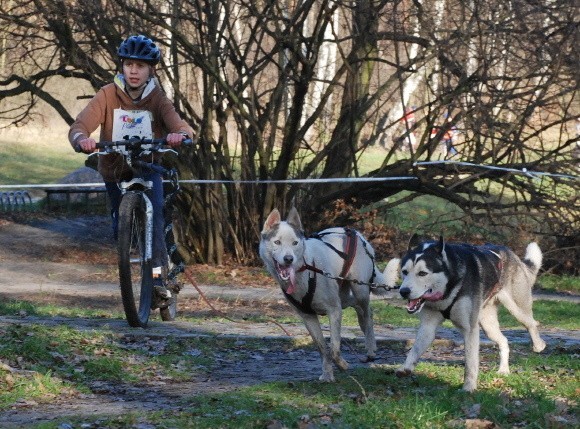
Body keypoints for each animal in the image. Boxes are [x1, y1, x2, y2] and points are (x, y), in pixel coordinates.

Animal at [258, 208, 398, 382]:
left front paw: (342, 365)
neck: (306, 269)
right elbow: (322, 348)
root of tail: (357, 234)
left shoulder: (334, 310)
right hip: (343, 293)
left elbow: (334, 348)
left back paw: (371, 347)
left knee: (368, 315)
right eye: (277, 242)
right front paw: (327, 374)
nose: (289, 259)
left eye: (295, 243)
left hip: (360, 290)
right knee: (358, 309)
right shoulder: (308, 316)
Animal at [396, 236, 548, 390]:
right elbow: (415, 350)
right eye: (405, 271)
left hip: (517, 308)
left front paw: (468, 388)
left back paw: (538, 345)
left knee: (531, 323)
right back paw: (504, 369)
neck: (447, 290)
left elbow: (470, 363)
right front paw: (406, 368)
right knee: (504, 340)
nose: (403, 291)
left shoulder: (470, 329)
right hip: (488, 326)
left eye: (422, 273)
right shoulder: (428, 326)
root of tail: (511, 254)